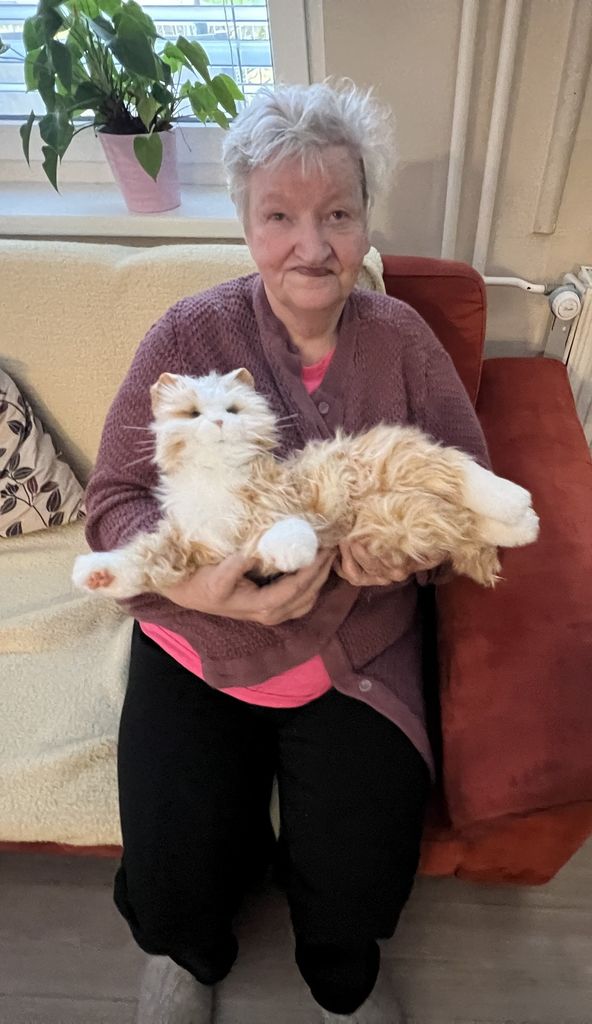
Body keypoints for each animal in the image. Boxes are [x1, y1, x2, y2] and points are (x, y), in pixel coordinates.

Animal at [72, 368, 539, 598]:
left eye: (233, 409)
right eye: (192, 414)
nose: (220, 422)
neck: (218, 476)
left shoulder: (281, 501)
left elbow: (287, 527)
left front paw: (291, 550)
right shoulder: (193, 545)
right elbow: (143, 560)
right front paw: (98, 575)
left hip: (391, 462)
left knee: (460, 471)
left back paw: (517, 501)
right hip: (401, 519)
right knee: (463, 518)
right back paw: (525, 527)